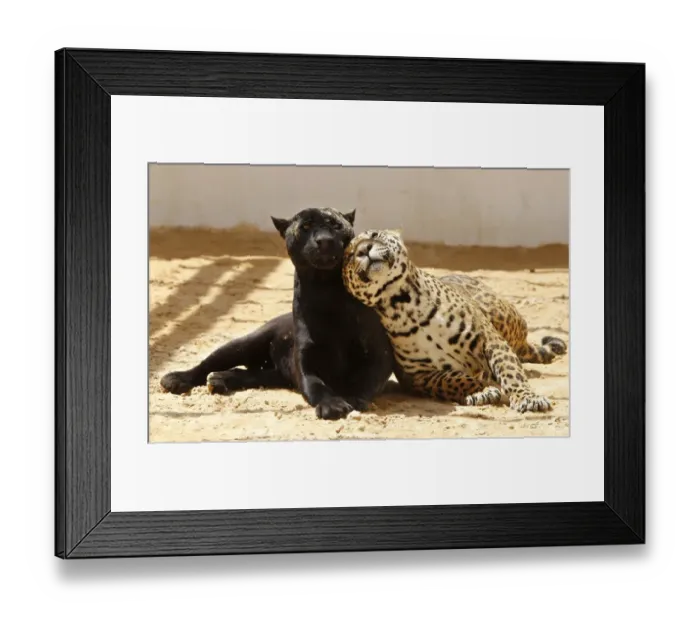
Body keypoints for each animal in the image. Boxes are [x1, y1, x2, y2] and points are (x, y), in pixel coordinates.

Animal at [341, 229, 568, 413]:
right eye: (350, 255)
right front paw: (482, 390)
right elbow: (454, 380)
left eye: (374, 235)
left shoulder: (491, 341)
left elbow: (511, 372)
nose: (364, 249)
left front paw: (527, 398)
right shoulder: (418, 376)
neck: (401, 303)